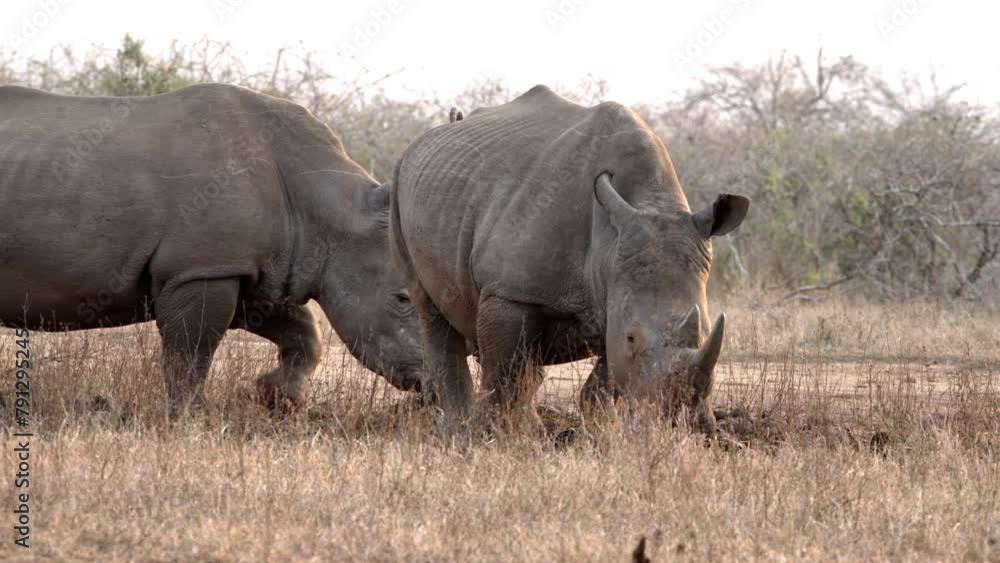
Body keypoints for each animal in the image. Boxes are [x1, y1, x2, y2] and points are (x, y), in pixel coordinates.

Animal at [0, 84, 423, 410]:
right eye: (402, 299)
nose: (428, 379)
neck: (329, 212)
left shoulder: (249, 268)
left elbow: (304, 331)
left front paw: (277, 398)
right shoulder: (201, 269)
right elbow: (192, 353)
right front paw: (191, 419)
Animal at [390, 85, 748, 433]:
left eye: (705, 331)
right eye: (632, 337)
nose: (681, 420)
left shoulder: (613, 290)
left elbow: (605, 379)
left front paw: (601, 432)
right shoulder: (510, 291)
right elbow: (502, 377)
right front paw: (492, 436)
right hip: (398, 185)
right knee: (430, 308)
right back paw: (459, 427)